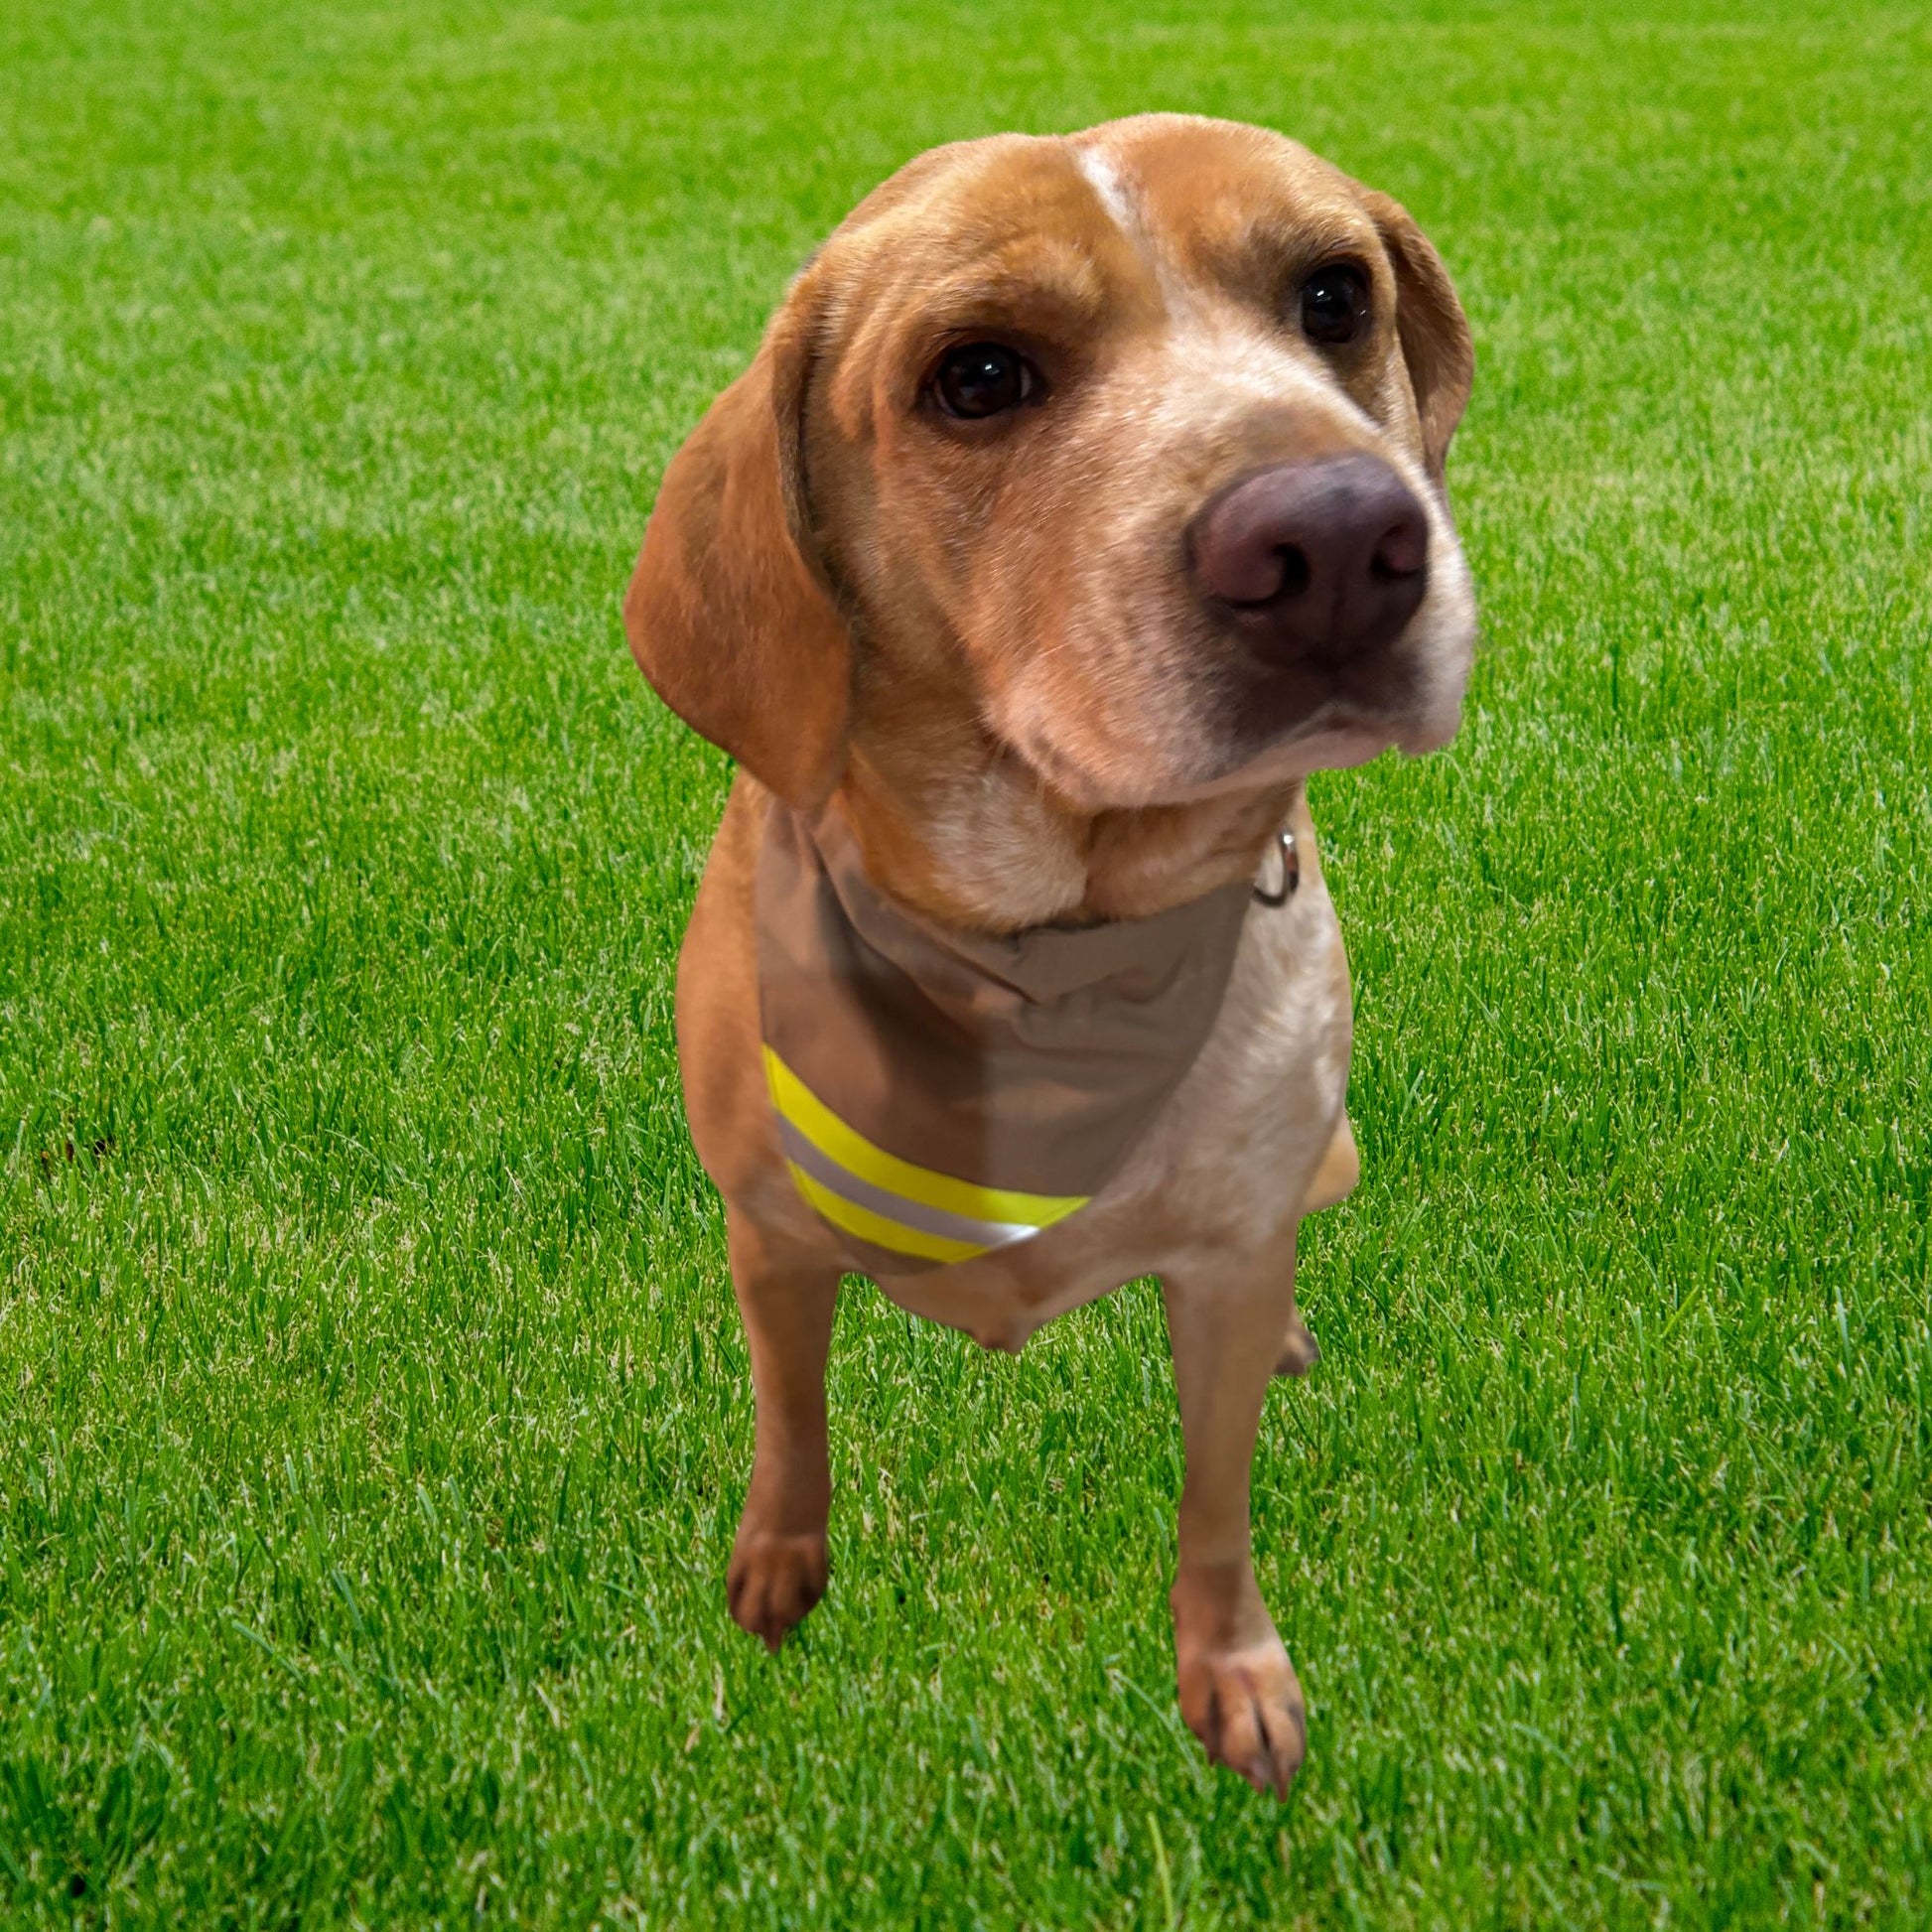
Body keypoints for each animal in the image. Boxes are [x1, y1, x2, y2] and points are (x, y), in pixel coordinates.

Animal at [625, 109, 1467, 1792]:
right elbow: (790, 1423)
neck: (1049, 939)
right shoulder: (768, 1230)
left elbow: (1214, 1509)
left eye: (1333, 295)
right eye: (977, 376)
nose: (1339, 538)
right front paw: (776, 1574)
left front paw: (1235, 1676)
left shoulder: (1222, 1258)